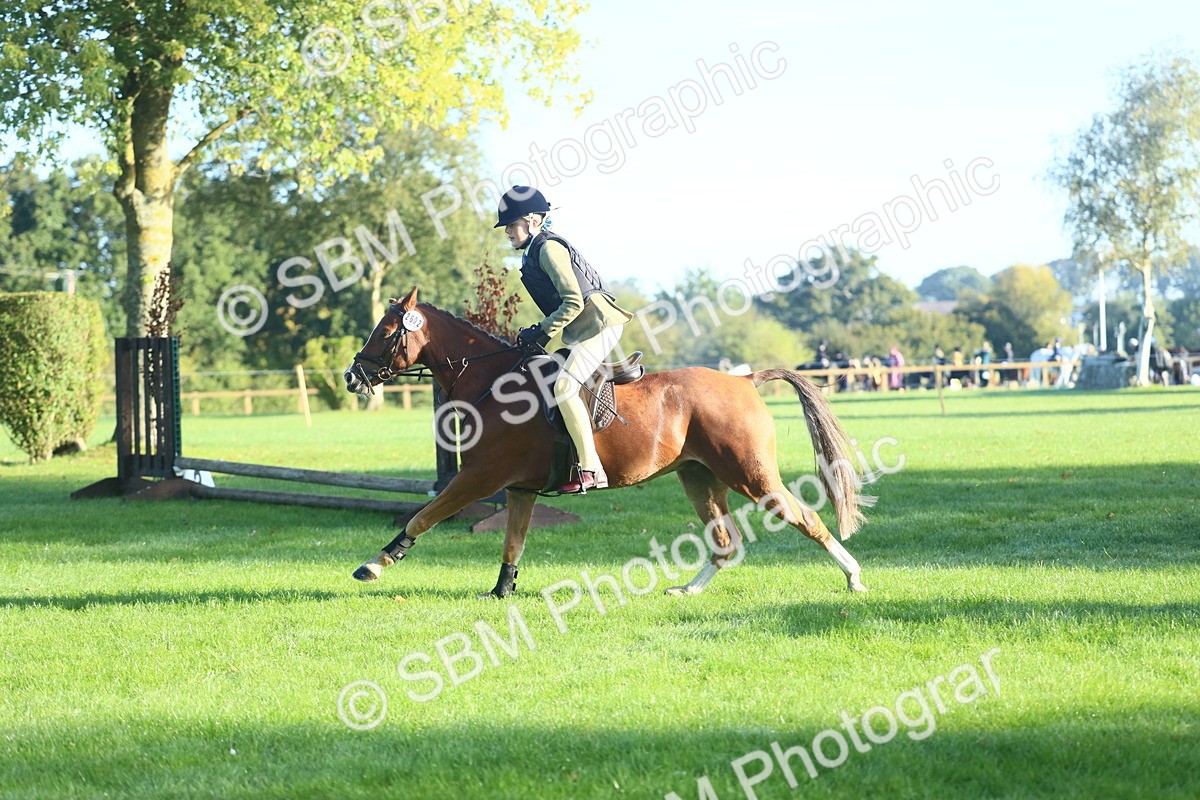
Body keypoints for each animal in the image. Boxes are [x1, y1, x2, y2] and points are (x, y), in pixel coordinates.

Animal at [343, 287, 871, 598]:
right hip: (699, 476)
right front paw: (501, 592)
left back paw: (853, 576)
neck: (492, 382)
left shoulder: (480, 477)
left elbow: (423, 516)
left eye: (385, 331)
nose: (352, 376)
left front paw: (375, 563)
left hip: (749, 474)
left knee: (805, 519)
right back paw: (686, 590)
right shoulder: (519, 488)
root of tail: (744, 380)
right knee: (725, 542)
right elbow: (513, 542)